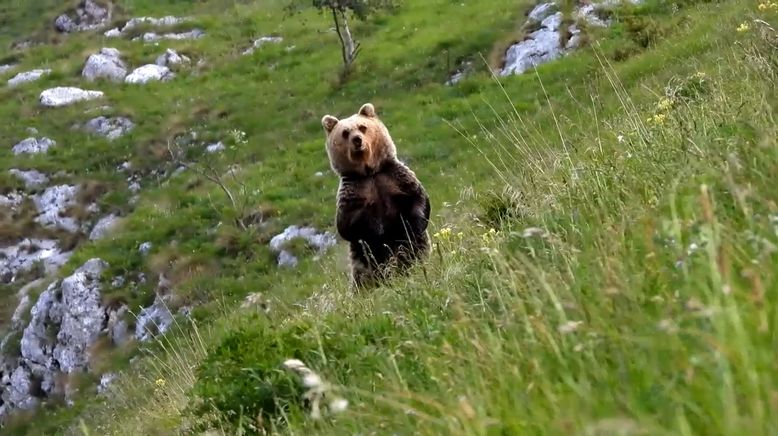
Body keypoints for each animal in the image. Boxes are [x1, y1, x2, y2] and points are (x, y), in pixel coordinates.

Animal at [322, 102, 430, 290]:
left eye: (362, 127)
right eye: (345, 132)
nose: (357, 140)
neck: (370, 172)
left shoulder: (394, 178)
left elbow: (418, 199)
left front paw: (414, 225)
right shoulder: (354, 194)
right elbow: (348, 227)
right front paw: (377, 229)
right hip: (363, 266)